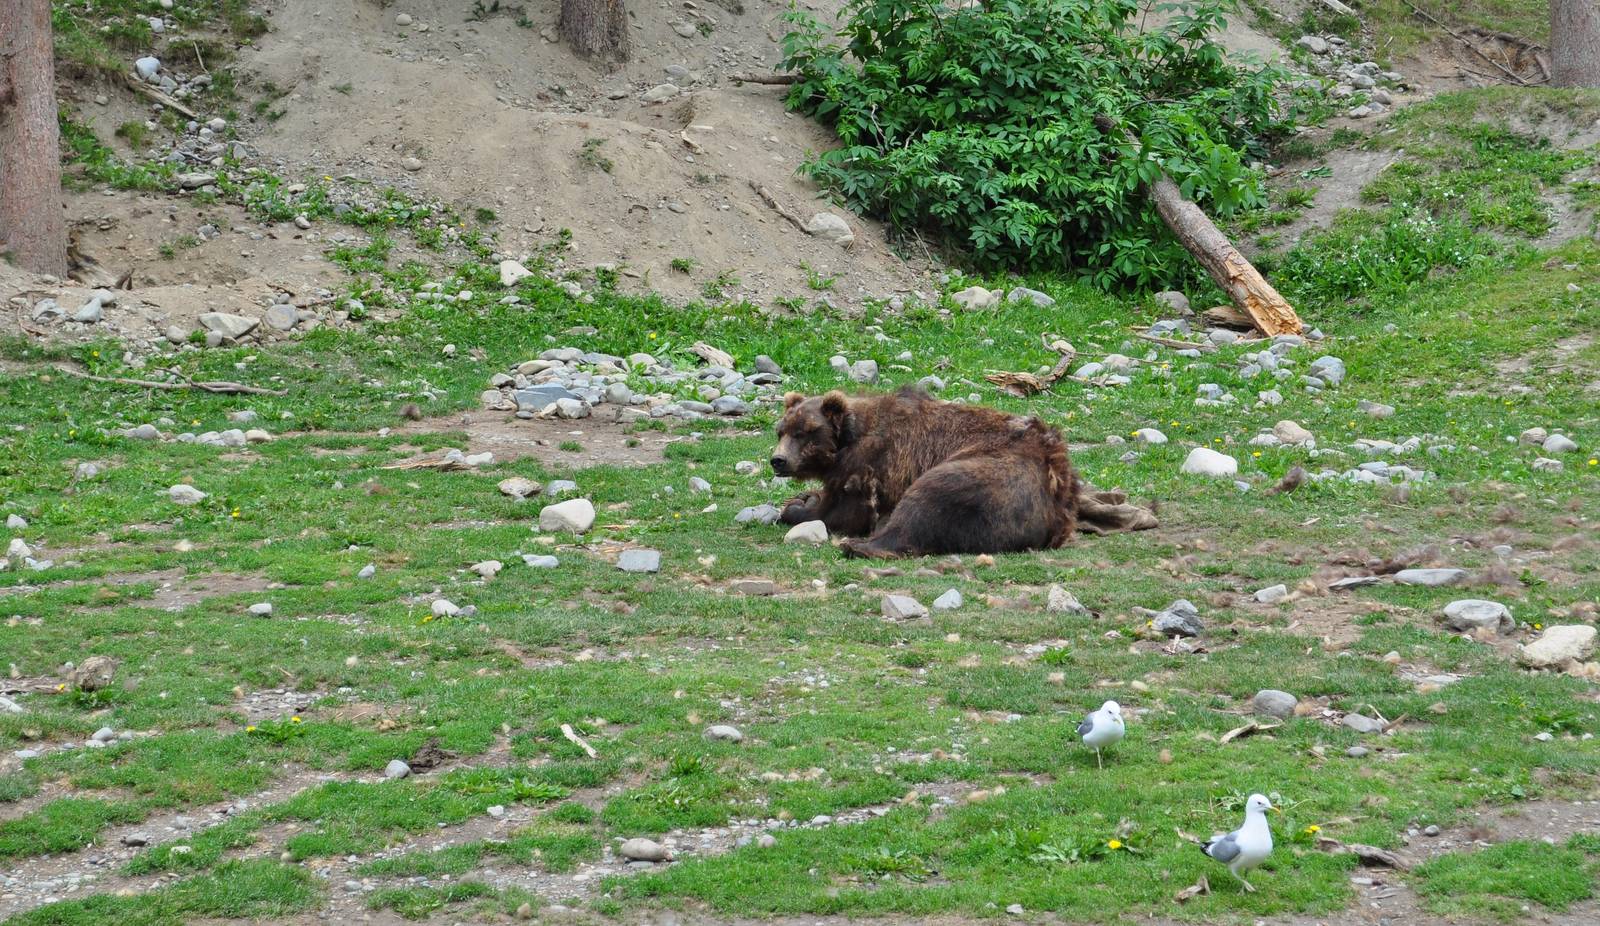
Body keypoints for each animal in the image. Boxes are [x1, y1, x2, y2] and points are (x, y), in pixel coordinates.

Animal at [770, 386, 1079, 558]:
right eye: (781, 430)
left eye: (804, 433)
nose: (778, 460)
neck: (845, 442)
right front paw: (804, 497)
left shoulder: (871, 465)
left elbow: (845, 512)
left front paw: (797, 509)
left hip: (989, 474)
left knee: (927, 500)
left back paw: (859, 545)